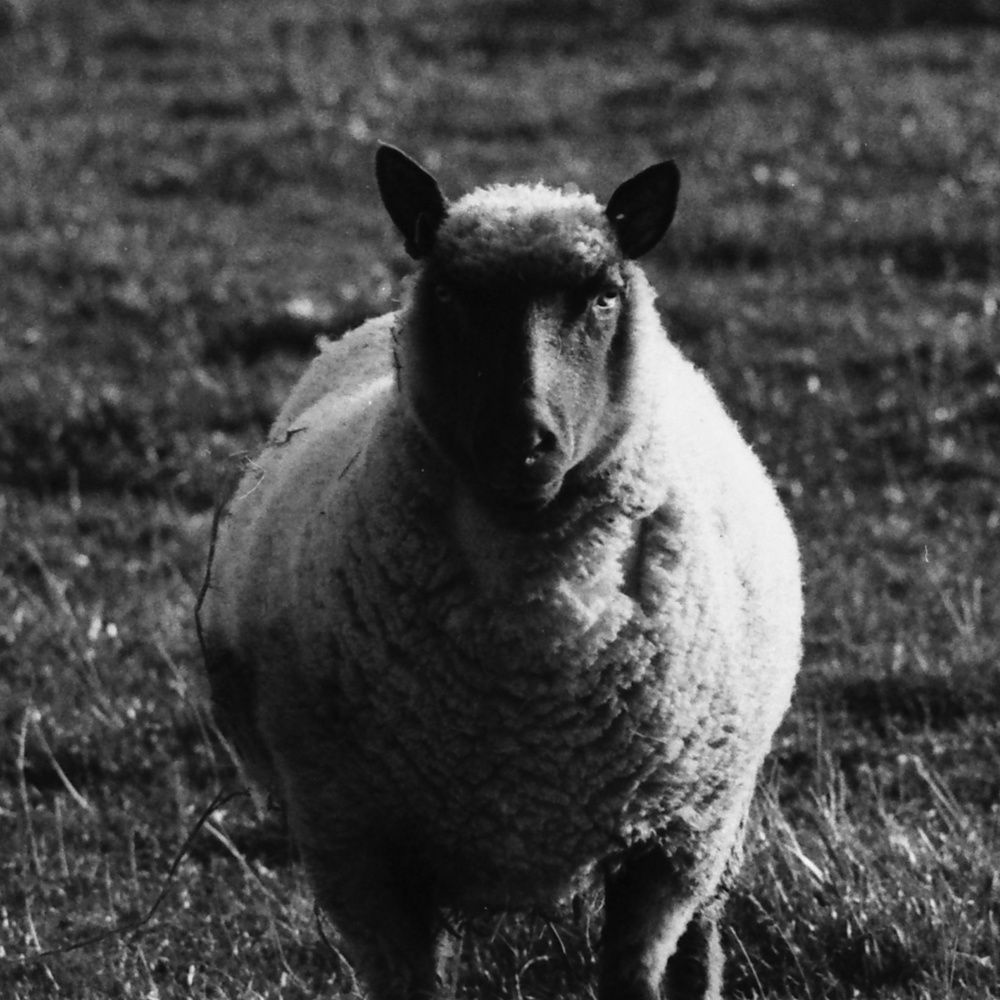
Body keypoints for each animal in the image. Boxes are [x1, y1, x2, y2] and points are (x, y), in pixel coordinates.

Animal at [197, 144, 803, 1000]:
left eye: (604, 294)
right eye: (452, 294)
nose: (524, 443)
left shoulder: (666, 847)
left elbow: (637, 977)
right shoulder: (359, 852)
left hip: (709, 825)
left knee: (700, 946)